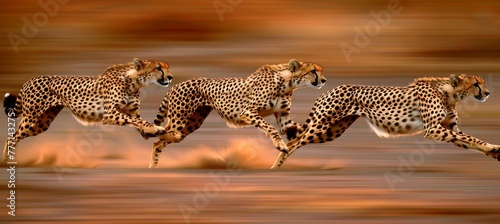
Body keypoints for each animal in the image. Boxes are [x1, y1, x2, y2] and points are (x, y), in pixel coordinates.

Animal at [2, 57, 173, 163]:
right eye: (158, 68)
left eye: (167, 68)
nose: (170, 77)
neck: (133, 81)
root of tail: (30, 79)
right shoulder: (110, 114)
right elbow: (137, 121)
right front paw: (156, 128)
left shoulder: (132, 113)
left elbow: (139, 123)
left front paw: (158, 131)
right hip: (31, 119)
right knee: (11, 138)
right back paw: (5, 162)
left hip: (41, 123)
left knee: (14, 137)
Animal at [150, 58, 326, 167]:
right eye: (313, 71)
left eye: (320, 71)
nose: (324, 80)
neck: (287, 83)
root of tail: (175, 84)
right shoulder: (248, 112)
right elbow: (271, 128)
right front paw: (280, 144)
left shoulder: (283, 119)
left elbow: (300, 127)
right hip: (180, 120)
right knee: (161, 138)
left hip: (191, 123)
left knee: (160, 141)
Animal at [274, 74, 500, 169]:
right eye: (476, 84)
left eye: (482, 83)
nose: (488, 93)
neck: (450, 93)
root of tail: (331, 88)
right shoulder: (433, 129)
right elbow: (471, 138)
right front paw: (493, 148)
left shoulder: (449, 128)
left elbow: (468, 140)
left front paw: (493, 151)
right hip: (321, 125)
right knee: (292, 143)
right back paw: (275, 169)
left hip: (332, 131)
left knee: (295, 142)